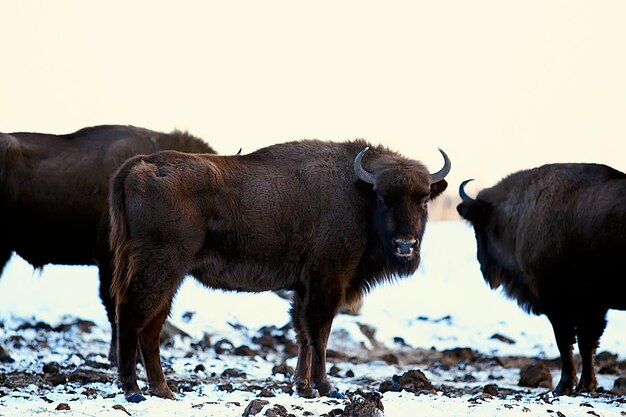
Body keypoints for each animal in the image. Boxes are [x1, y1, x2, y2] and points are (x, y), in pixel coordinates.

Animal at [108, 139, 448, 400]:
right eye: (382, 198)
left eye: (424, 201)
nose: (405, 245)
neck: (356, 192)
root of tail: (140, 165)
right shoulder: (328, 281)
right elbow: (319, 332)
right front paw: (326, 387)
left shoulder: (303, 287)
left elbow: (302, 333)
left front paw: (303, 387)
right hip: (161, 267)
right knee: (131, 314)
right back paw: (132, 389)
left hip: (168, 275)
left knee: (151, 325)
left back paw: (163, 390)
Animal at [454, 162, 624, 394]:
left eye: (477, 226)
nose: (483, 263)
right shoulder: (592, 306)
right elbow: (586, 343)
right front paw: (586, 385)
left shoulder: (557, 303)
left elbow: (566, 342)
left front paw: (563, 387)